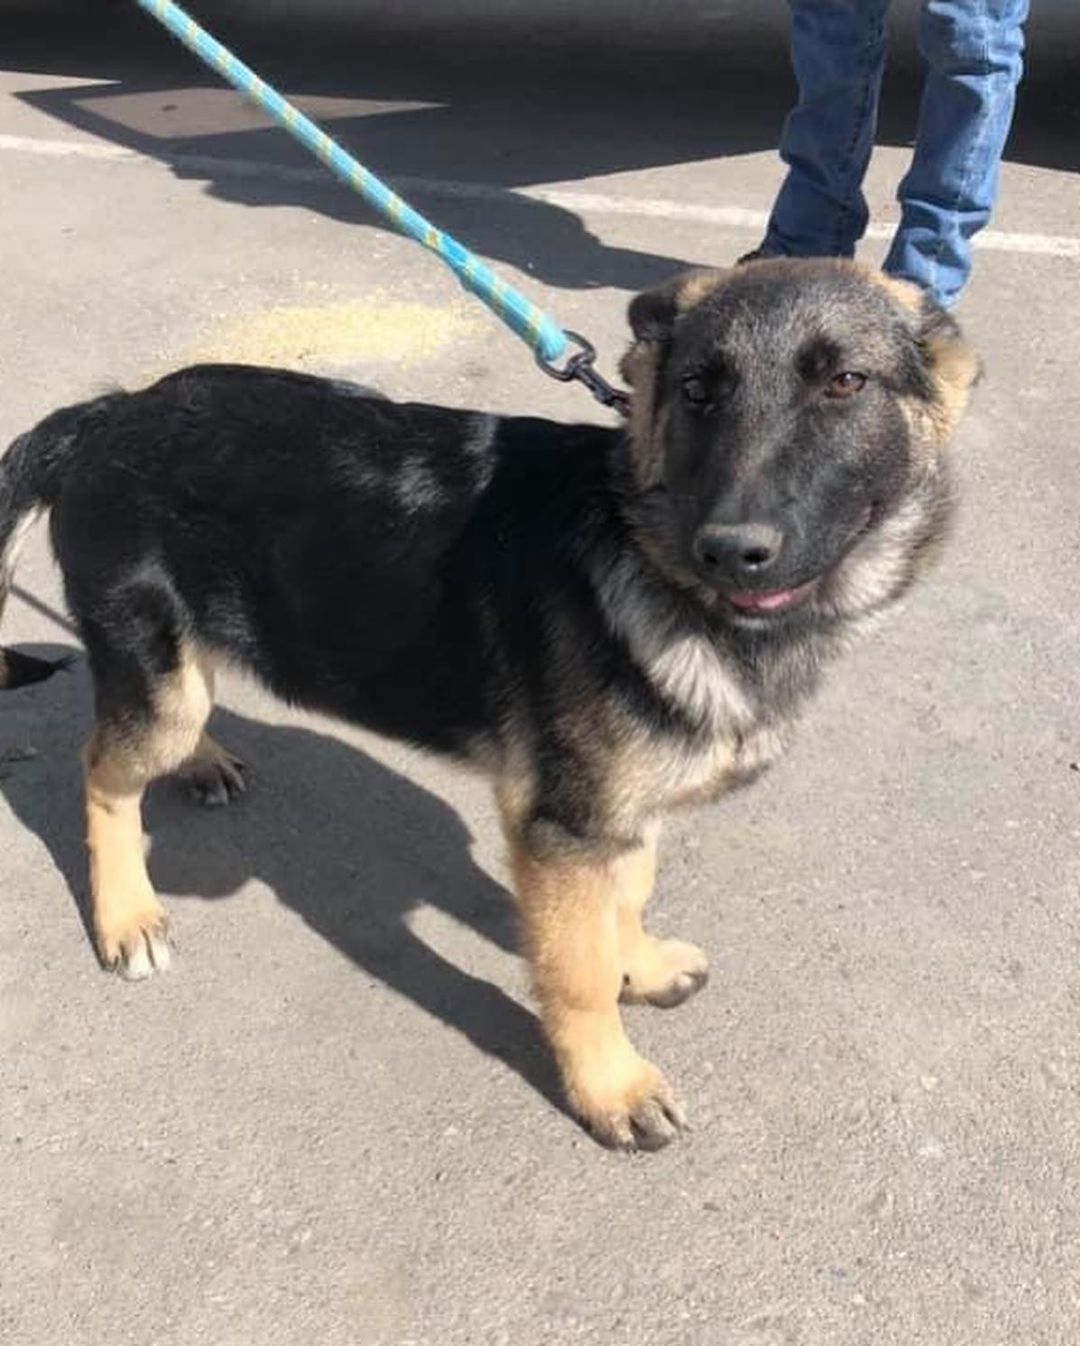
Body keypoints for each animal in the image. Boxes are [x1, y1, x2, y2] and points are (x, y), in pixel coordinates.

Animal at [0, 259, 974, 1146]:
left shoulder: (614, 809)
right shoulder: (561, 826)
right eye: (698, 391)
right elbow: (578, 974)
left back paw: (202, 764)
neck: (639, 538)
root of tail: (107, 414)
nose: (731, 550)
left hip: (181, 671)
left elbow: (629, 892)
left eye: (845, 383)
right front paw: (611, 1086)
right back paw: (126, 914)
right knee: (103, 768)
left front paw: (640, 963)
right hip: (155, 686)